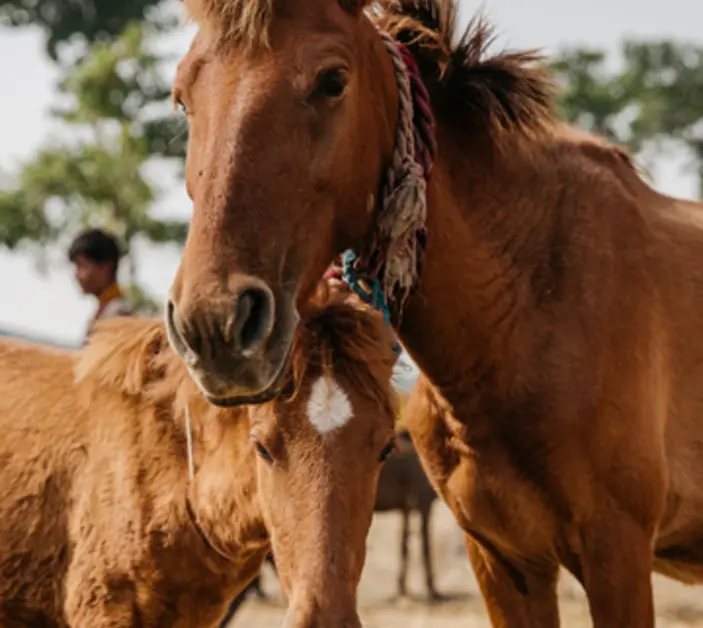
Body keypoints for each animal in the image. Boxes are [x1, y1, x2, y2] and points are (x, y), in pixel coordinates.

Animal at [164, 0, 703, 625]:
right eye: (182, 96)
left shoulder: (617, 555)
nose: (214, 325)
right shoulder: (503, 561)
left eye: (332, 81)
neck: (528, 309)